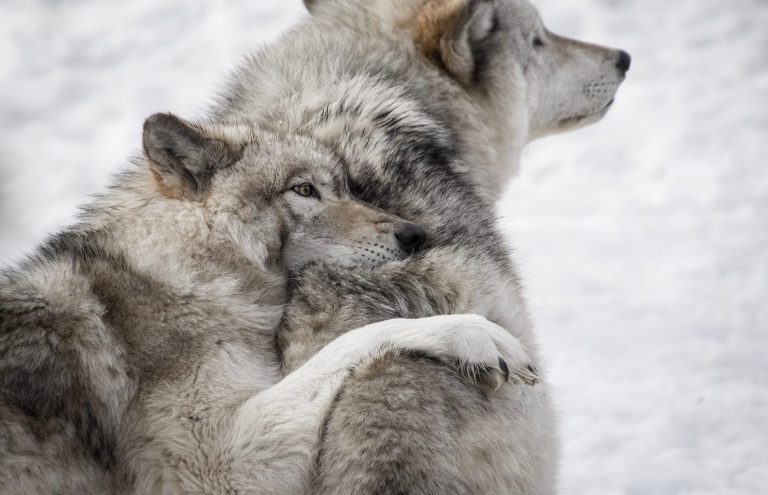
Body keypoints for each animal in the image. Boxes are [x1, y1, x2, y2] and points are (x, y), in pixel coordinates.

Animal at [0, 113, 536, 495]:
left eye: (344, 187)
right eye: (304, 190)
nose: (414, 235)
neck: (183, 271)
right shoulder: (218, 466)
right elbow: (356, 340)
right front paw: (474, 335)